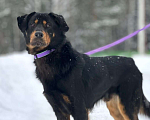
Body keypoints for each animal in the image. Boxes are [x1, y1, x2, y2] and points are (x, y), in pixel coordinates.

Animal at [16, 11, 150, 120]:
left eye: (48, 25)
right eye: (32, 24)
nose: (38, 34)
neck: (51, 57)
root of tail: (132, 62)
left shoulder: (79, 108)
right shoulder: (59, 110)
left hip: (127, 104)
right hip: (115, 107)